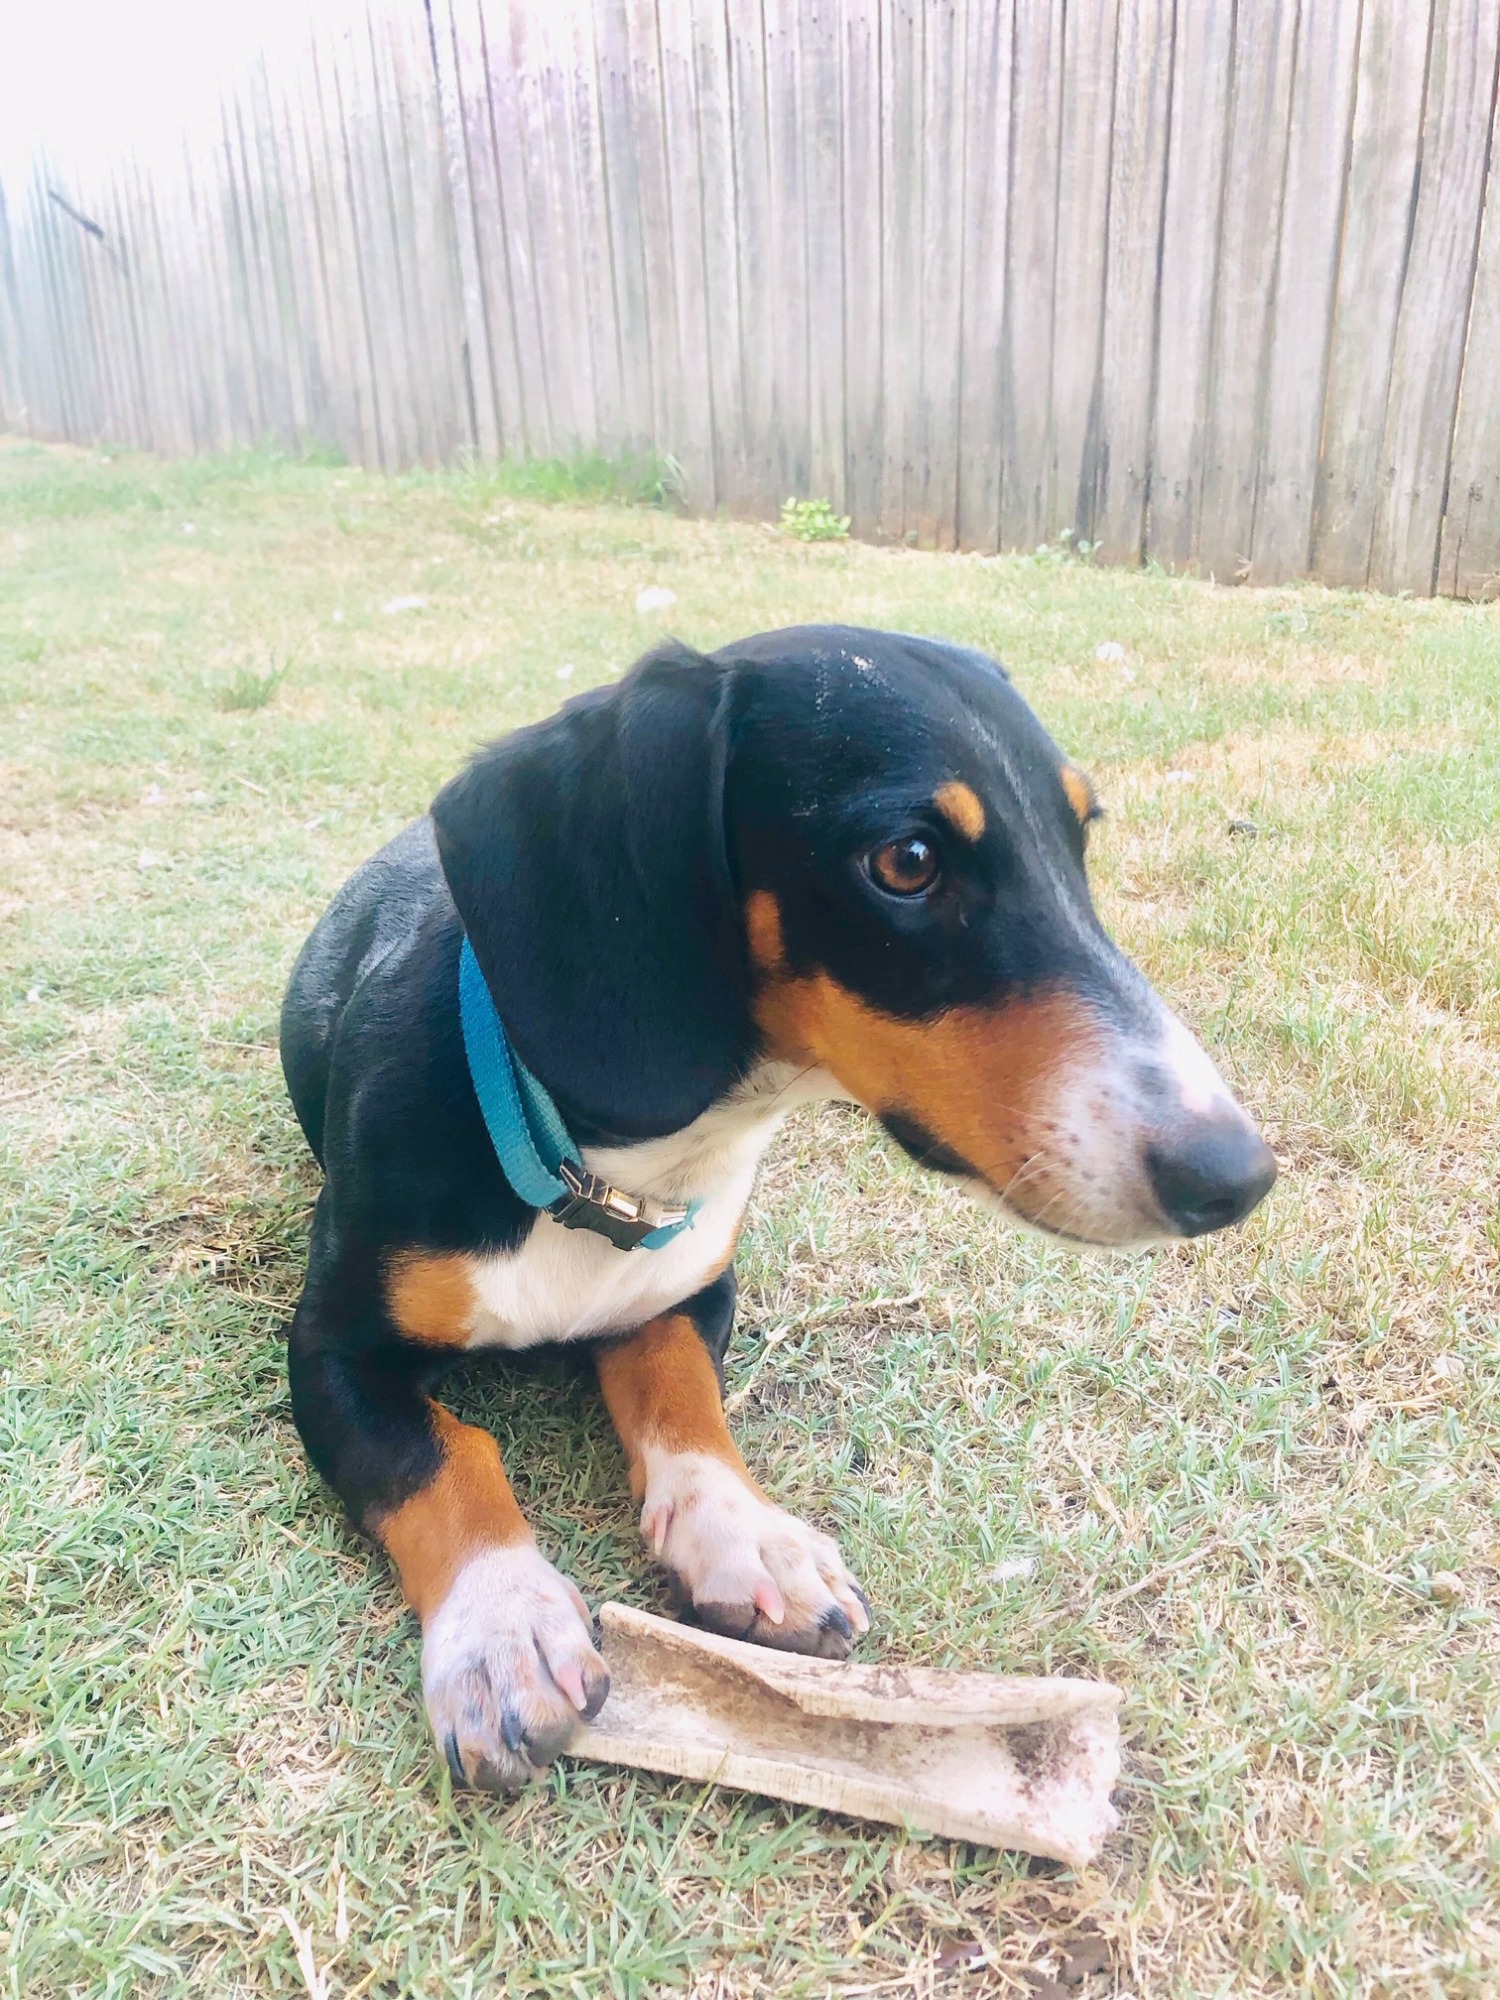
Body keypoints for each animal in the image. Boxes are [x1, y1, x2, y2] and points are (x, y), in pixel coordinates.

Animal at [280, 626, 1276, 1792]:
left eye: (1080, 837)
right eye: (908, 861)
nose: (1238, 1174)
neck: (603, 1179)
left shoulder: (694, 1290)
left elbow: (681, 1394)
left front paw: (748, 1536)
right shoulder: (330, 1350)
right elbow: (443, 1457)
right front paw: (502, 1624)